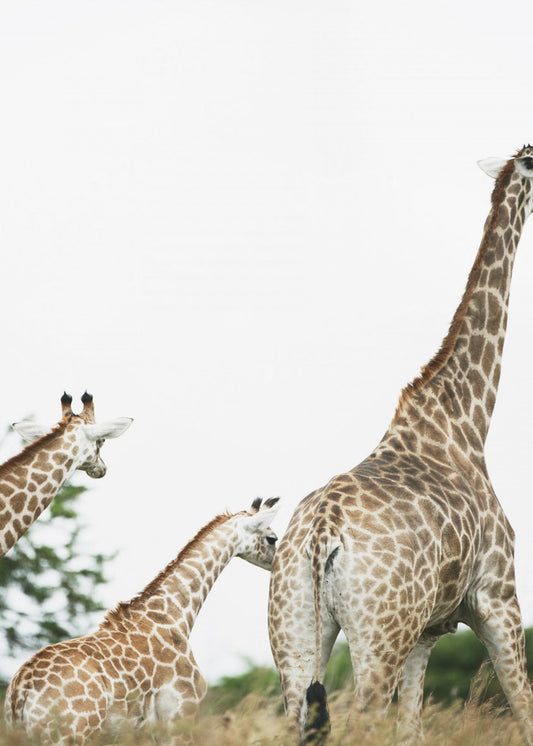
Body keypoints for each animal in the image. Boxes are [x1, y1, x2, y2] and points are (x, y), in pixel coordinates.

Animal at [5, 497, 280, 745]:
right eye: (272, 538)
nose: (277, 563)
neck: (175, 616)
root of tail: (21, 689)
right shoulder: (179, 716)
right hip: (70, 735)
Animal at [268, 146, 533, 744]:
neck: (465, 422)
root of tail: (322, 534)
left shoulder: (429, 630)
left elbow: (412, 728)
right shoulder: (498, 597)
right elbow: (524, 709)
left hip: (296, 627)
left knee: (296, 716)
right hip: (379, 631)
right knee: (359, 717)